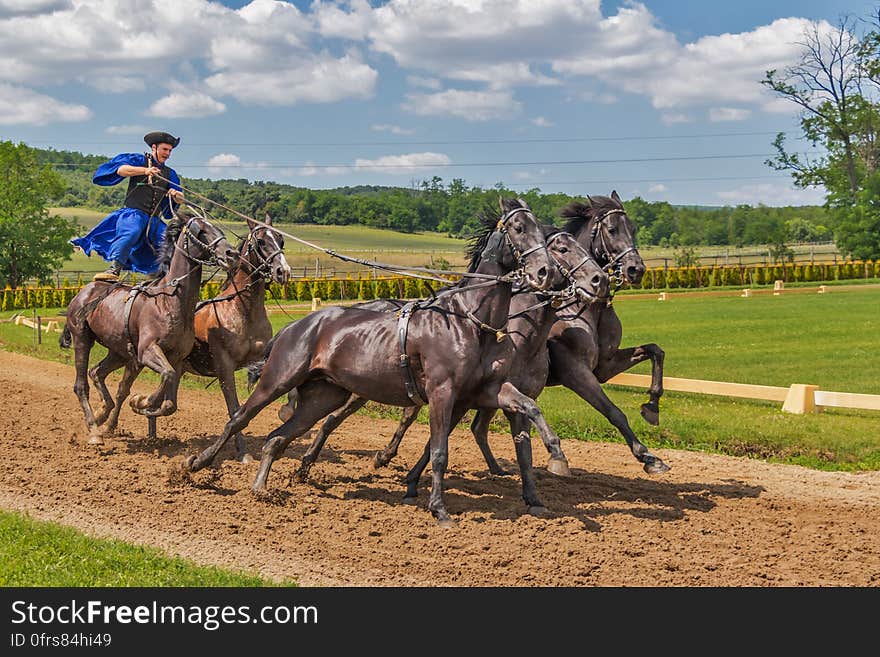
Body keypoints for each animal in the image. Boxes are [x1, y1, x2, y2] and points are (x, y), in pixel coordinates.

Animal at [59, 213, 239, 444]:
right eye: (201, 231)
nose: (231, 254)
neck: (169, 301)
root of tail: (83, 293)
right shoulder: (147, 351)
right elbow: (167, 376)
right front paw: (141, 401)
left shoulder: (176, 358)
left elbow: (170, 403)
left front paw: (142, 405)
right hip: (82, 339)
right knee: (81, 385)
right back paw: (94, 430)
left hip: (119, 352)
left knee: (97, 372)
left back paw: (102, 413)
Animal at [182, 213, 292, 458]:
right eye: (260, 241)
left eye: (281, 240)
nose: (283, 271)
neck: (243, 309)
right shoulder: (225, 367)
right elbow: (234, 408)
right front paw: (242, 453)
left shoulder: (262, 358)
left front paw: (287, 410)